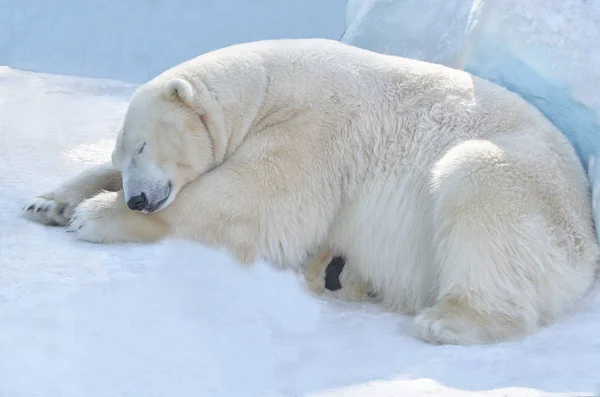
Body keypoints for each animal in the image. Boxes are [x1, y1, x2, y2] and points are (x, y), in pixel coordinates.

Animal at [21, 38, 596, 344]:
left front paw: (97, 215)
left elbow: (252, 202)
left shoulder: (312, 126)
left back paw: (449, 320)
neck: (262, 87)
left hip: (534, 198)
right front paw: (49, 201)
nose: (138, 198)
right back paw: (339, 273)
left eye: (143, 145)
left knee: (479, 187)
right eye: (124, 155)